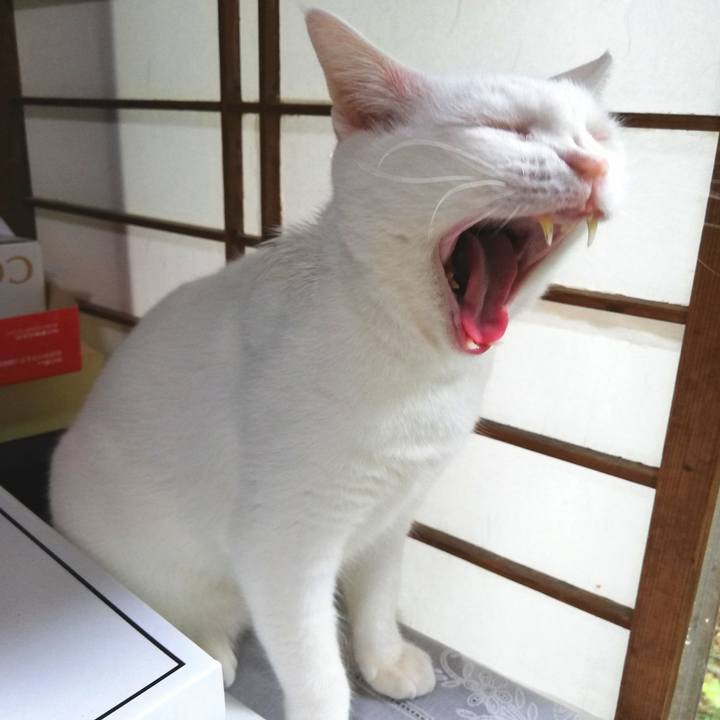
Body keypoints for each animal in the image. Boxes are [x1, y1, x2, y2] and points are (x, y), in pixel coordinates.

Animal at [50, 9, 624, 720]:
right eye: (503, 128)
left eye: (600, 134)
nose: (593, 162)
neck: (419, 373)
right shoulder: (283, 550)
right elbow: (318, 671)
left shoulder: (393, 517)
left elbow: (378, 600)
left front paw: (385, 662)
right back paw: (212, 646)